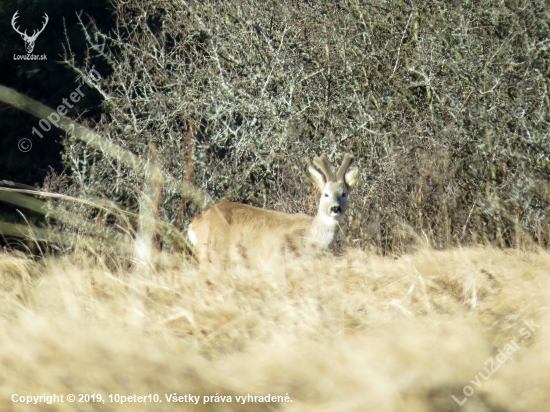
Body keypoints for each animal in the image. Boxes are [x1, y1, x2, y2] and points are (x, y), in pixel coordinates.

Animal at [189, 154, 362, 268]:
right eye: (325, 194)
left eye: (344, 194)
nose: (335, 208)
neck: (310, 237)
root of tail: (195, 223)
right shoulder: (278, 261)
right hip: (212, 254)